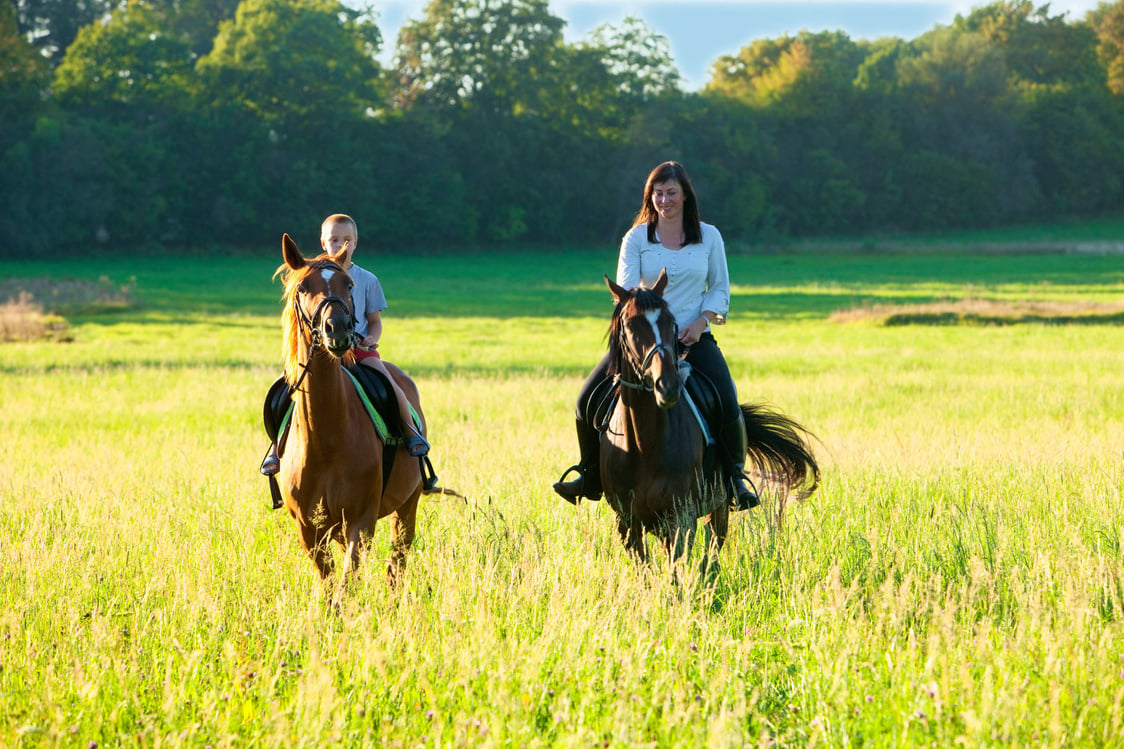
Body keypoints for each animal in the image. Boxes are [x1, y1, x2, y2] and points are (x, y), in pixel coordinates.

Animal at [274, 233, 427, 589]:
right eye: (303, 287)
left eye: (349, 284)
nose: (337, 328)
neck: (326, 437)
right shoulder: (309, 530)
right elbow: (331, 586)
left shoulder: (361, 521)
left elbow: (346, 584)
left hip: (407, 506)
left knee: (397, 564)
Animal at [597, 271, 818, 569]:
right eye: (630, 325)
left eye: (671, 321)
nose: (667, 385)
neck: (645, 443)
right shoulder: (627, 523)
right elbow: (646, 570)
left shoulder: (681, 518)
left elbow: (676, 571)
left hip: (720, 507)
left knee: (711, 555)